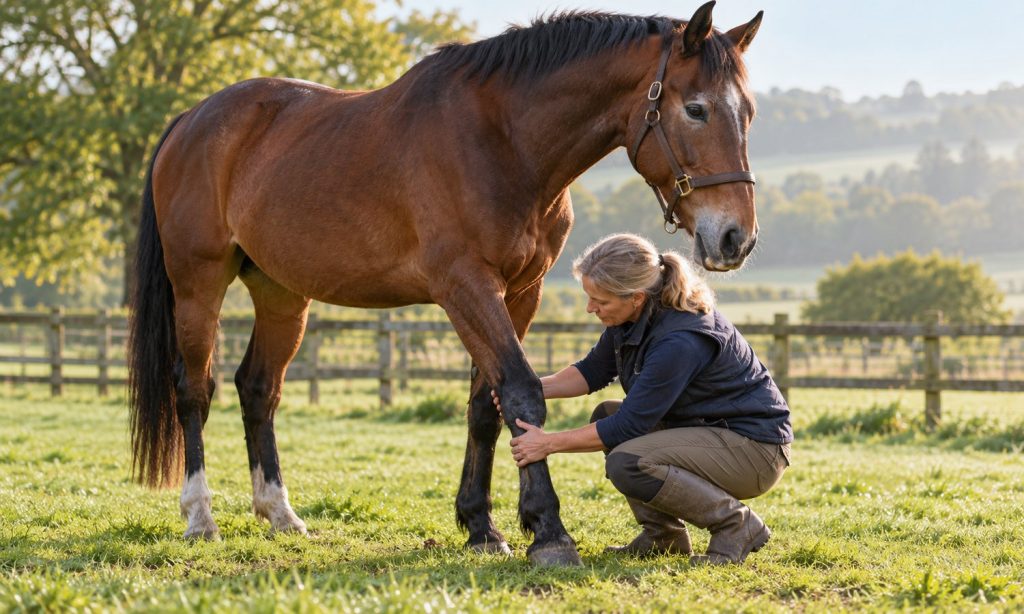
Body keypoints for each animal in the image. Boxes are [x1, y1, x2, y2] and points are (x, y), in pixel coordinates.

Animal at [128, 1, 763, 566]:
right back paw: (200, 517)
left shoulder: (520, 291)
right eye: (697, 109)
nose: (736, 237)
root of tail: (192, 120)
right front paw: (548, 533)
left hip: (282, 293)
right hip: (198, 284)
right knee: (194, 389)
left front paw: (482, 527)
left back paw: (280, 514)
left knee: (258, 389)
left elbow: (487, 404)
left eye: (749, 113)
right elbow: (521, 391)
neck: (503, 141)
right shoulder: (465, 287)